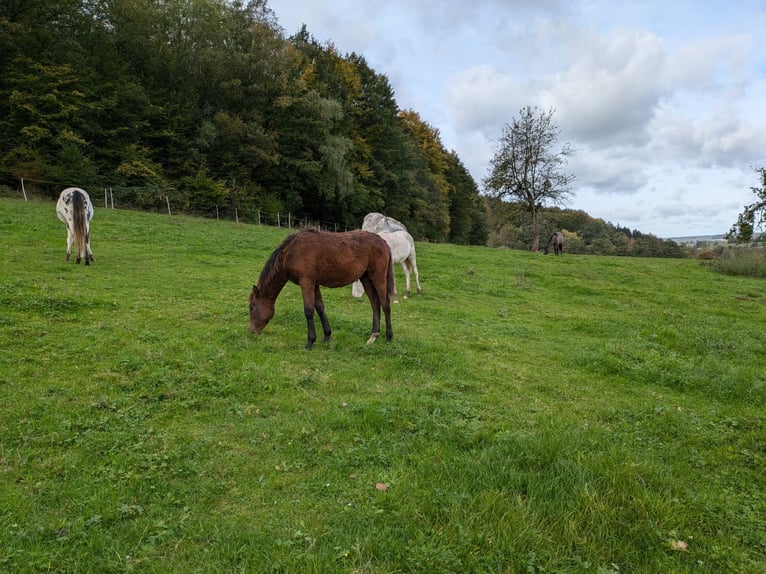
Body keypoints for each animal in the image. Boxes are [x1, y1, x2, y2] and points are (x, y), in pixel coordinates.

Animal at [250, 231, 396, 352]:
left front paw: (310, 342)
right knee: (375, 303)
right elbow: (320, 308)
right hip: (366, 278)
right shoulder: (314, 284)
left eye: (251, 307)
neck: (292, 252)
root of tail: (383, 242)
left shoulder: (306, 282)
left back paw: (389, 337)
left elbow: (309, 311)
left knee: (385, 304)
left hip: (378, 276)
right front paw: (326, 336)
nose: (251, 331)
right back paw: (373, 336)